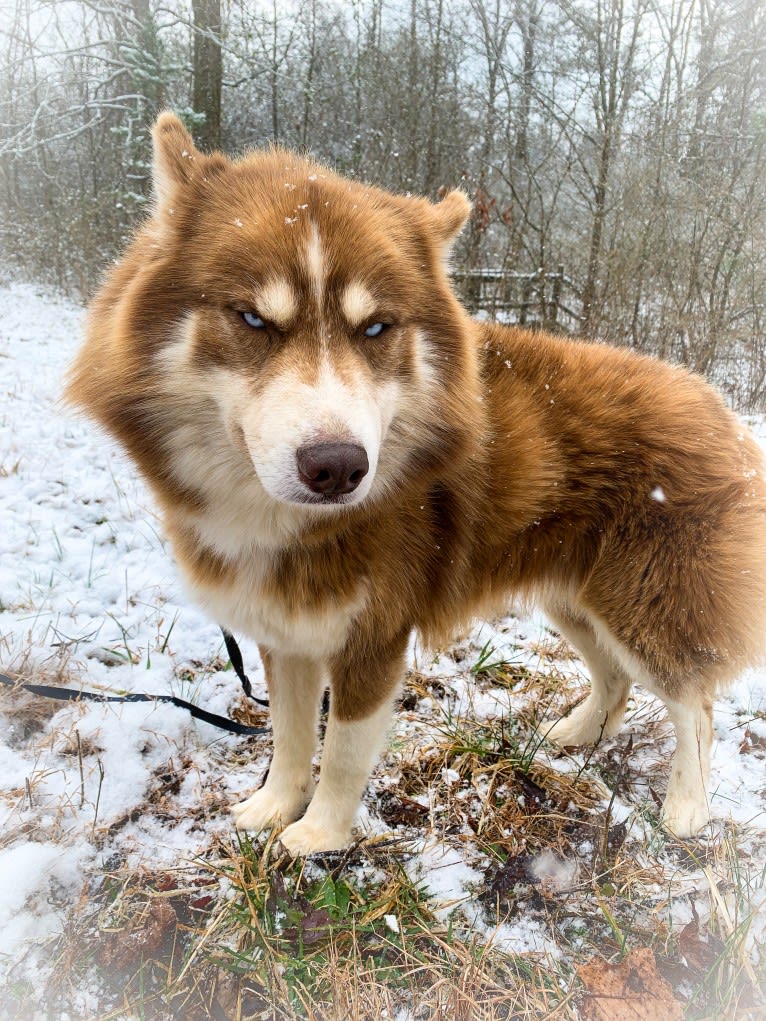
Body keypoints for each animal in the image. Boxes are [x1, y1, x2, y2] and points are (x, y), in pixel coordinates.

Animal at [65, 113, 766, 853]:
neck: (279, 521)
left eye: (376, 328)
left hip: (643, 604)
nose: (338, 467)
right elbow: (290, 736)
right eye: (253, 318)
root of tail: (717, 406)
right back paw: (576, 734)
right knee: (615, 678)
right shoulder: (287, 633)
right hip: (576, 598)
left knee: (693, 702)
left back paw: (687, 807)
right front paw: (275, 806)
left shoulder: (375, 637)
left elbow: (342, 751)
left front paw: (319, 835)